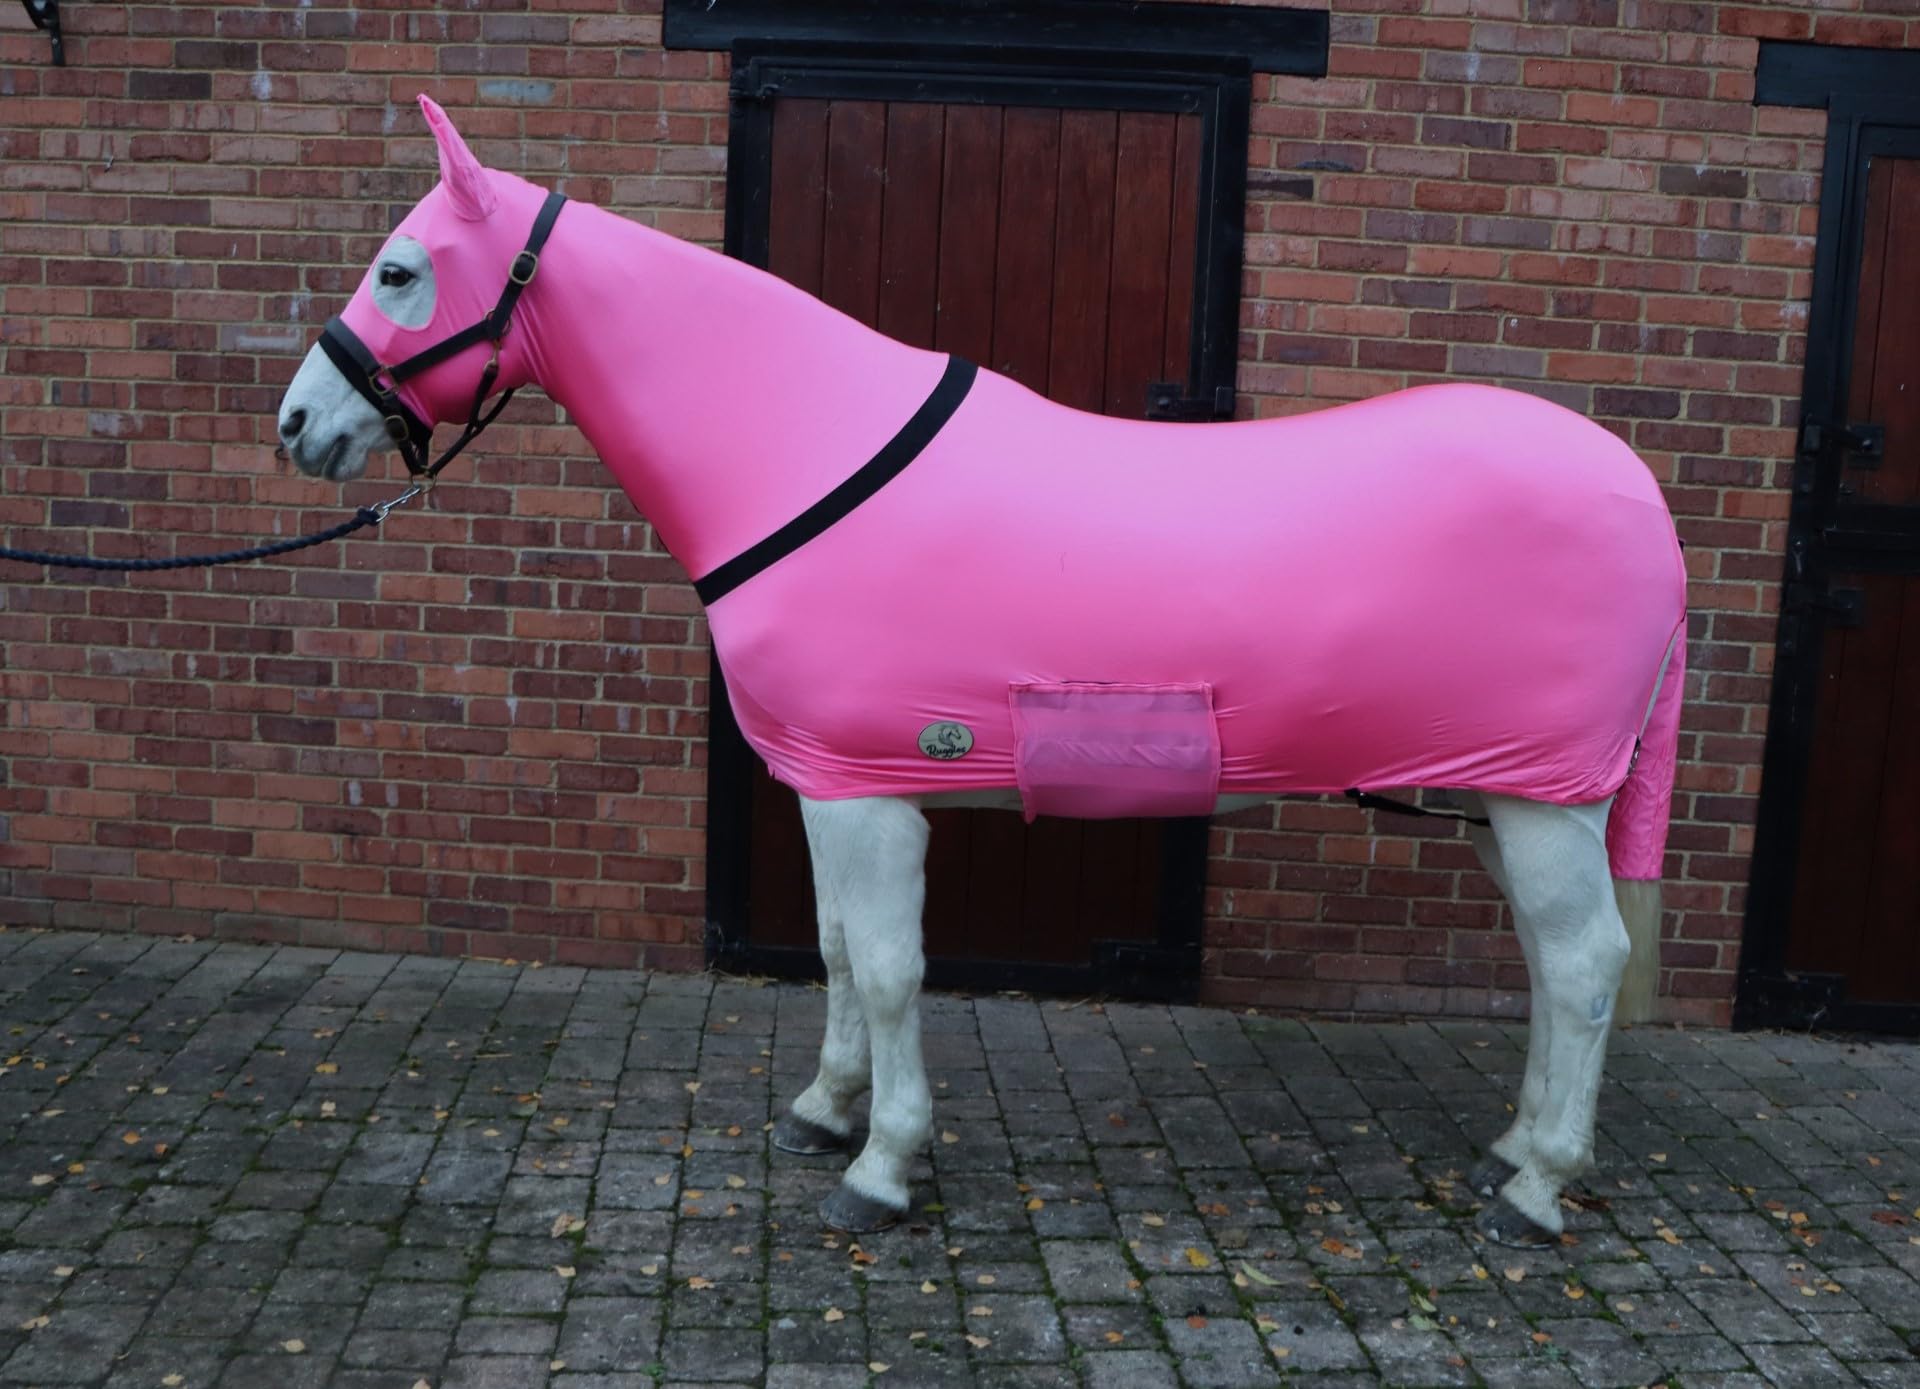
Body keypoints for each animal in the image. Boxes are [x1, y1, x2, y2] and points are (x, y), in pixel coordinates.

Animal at [276, 97, 1687, 1246]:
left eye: (401, 269)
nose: (298, 425)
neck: (806, 450)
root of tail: (1639, 492)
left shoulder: (873, 793)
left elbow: (893, 967)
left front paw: (883, 1168)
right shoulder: (832, 782)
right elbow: (839, 953)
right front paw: (826, 1109)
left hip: (1546, 797)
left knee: (1581, 964)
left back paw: (1538, 1189)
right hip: (1511, 793)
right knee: (1555, 963)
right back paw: (1513, 1147)